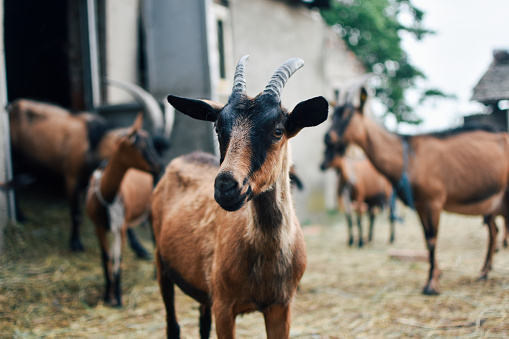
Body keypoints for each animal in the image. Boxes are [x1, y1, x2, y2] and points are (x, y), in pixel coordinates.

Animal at [8, 81, 171, 254]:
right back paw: (20, 216)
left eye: (153, 145)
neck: (95, 142)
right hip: (14, 157)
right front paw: (75, 243)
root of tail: (12, 105)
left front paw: (140, 249)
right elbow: (76, 213)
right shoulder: (72, 177)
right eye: (141, 146)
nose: (160, 167)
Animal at [84, 112, 162, 308]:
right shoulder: (99, 227)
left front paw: (118, 297)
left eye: (152, 143)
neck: (107, 195)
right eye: (141, 147)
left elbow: (118, 258)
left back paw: (155, 273)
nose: (159, 165)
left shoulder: (121, 228)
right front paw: (107, 294)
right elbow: (106, 258)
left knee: (155, 238)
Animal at [152, 57, 330, 338]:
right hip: (162, 264)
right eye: (218, 127)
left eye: (278, 131)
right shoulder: (224, 306)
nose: (225, 186)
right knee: (173, 325)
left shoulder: (281, 306)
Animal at [326, 79, 508, 294]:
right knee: (493, 231)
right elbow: (426, 240)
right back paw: (483, 273)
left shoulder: (433, 201)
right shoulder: (421, 205)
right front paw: (435, 276)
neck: (408, 157)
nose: (327, 138)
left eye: (348, 116)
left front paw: (431, 285)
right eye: (332, 115)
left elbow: (432, 240)